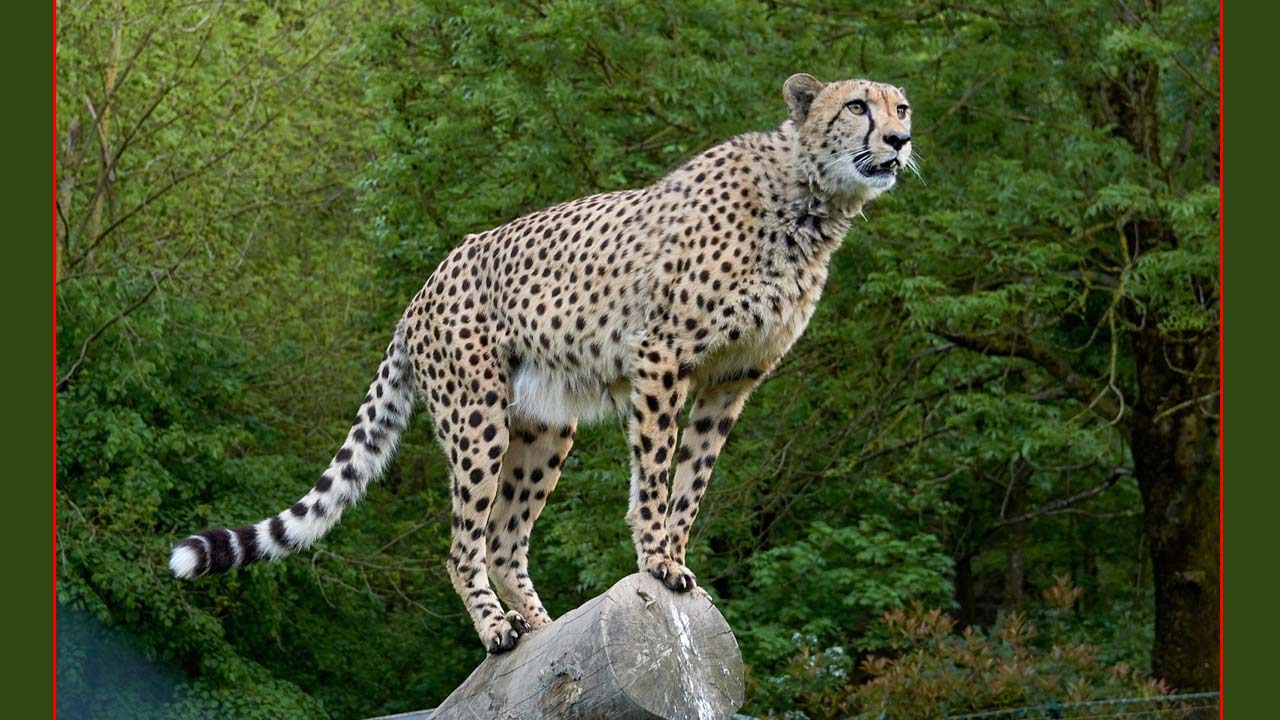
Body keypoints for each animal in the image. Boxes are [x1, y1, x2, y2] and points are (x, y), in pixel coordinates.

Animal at [169, 74, 915, 654]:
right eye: (857, 106)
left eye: (901, 108)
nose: (900, 142)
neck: (809, 201)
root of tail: (423, 286)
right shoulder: (663, 355)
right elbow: (655, 472)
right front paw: (655, 558)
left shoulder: (731, 380)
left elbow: (692, 482)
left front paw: (673, 557)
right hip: (477, 416)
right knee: (463, 544)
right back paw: (498, 630)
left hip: (545, 424)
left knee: (504, 538)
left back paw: (545, 626)